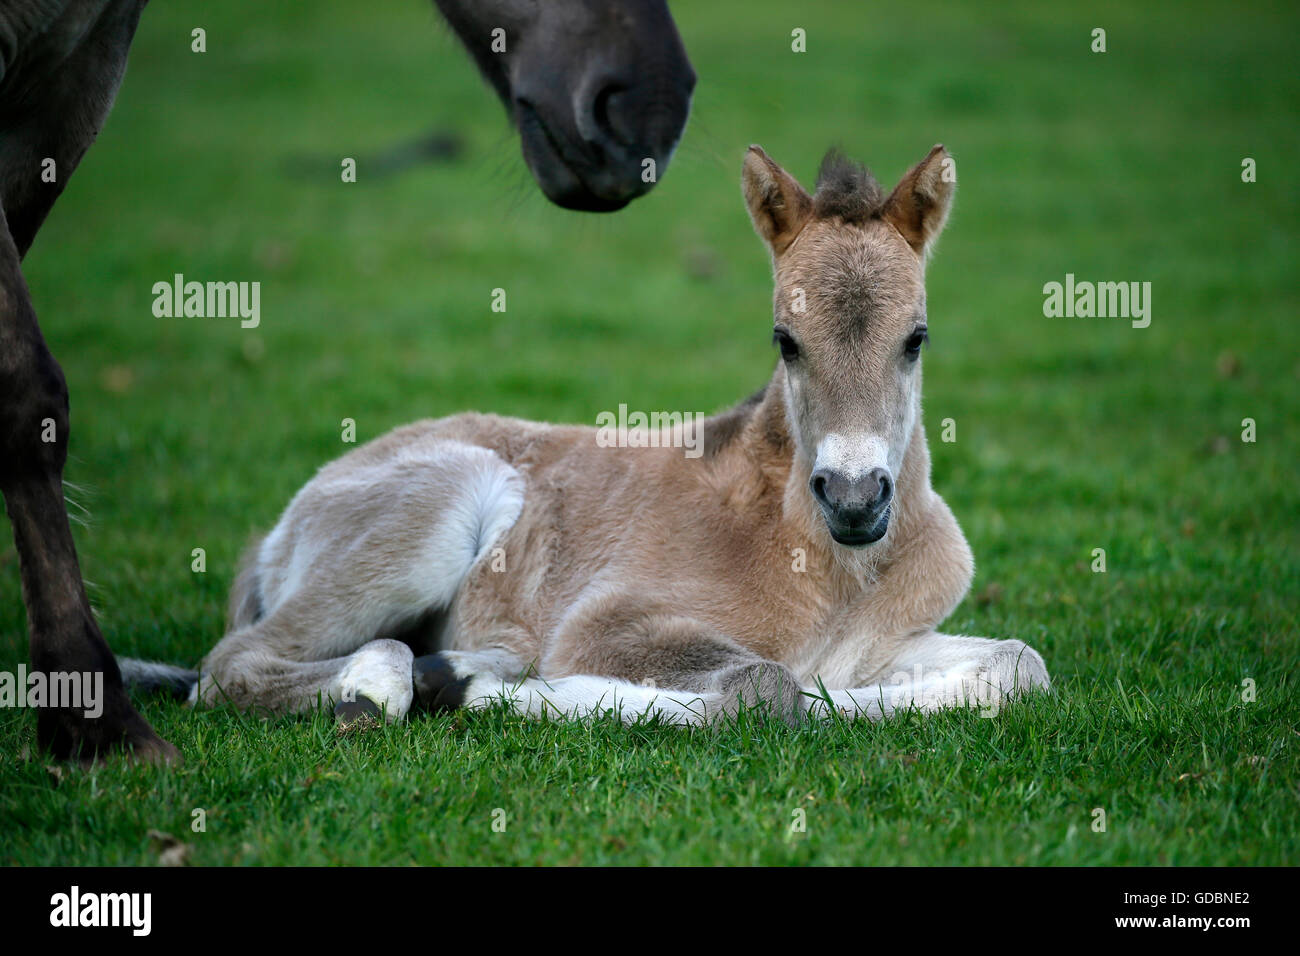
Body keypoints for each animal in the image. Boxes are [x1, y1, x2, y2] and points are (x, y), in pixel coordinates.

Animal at [131, 143, 1050, 723]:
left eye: (916, 338)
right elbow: (770, 688)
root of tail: (280, 529)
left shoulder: (887, 642)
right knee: (234, 666)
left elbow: (1020, 665)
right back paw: (409, 682)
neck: (831, 567)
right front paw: (508, 697)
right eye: (786, 341)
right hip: (436, 510)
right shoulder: (606, 625)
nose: (855, 500)